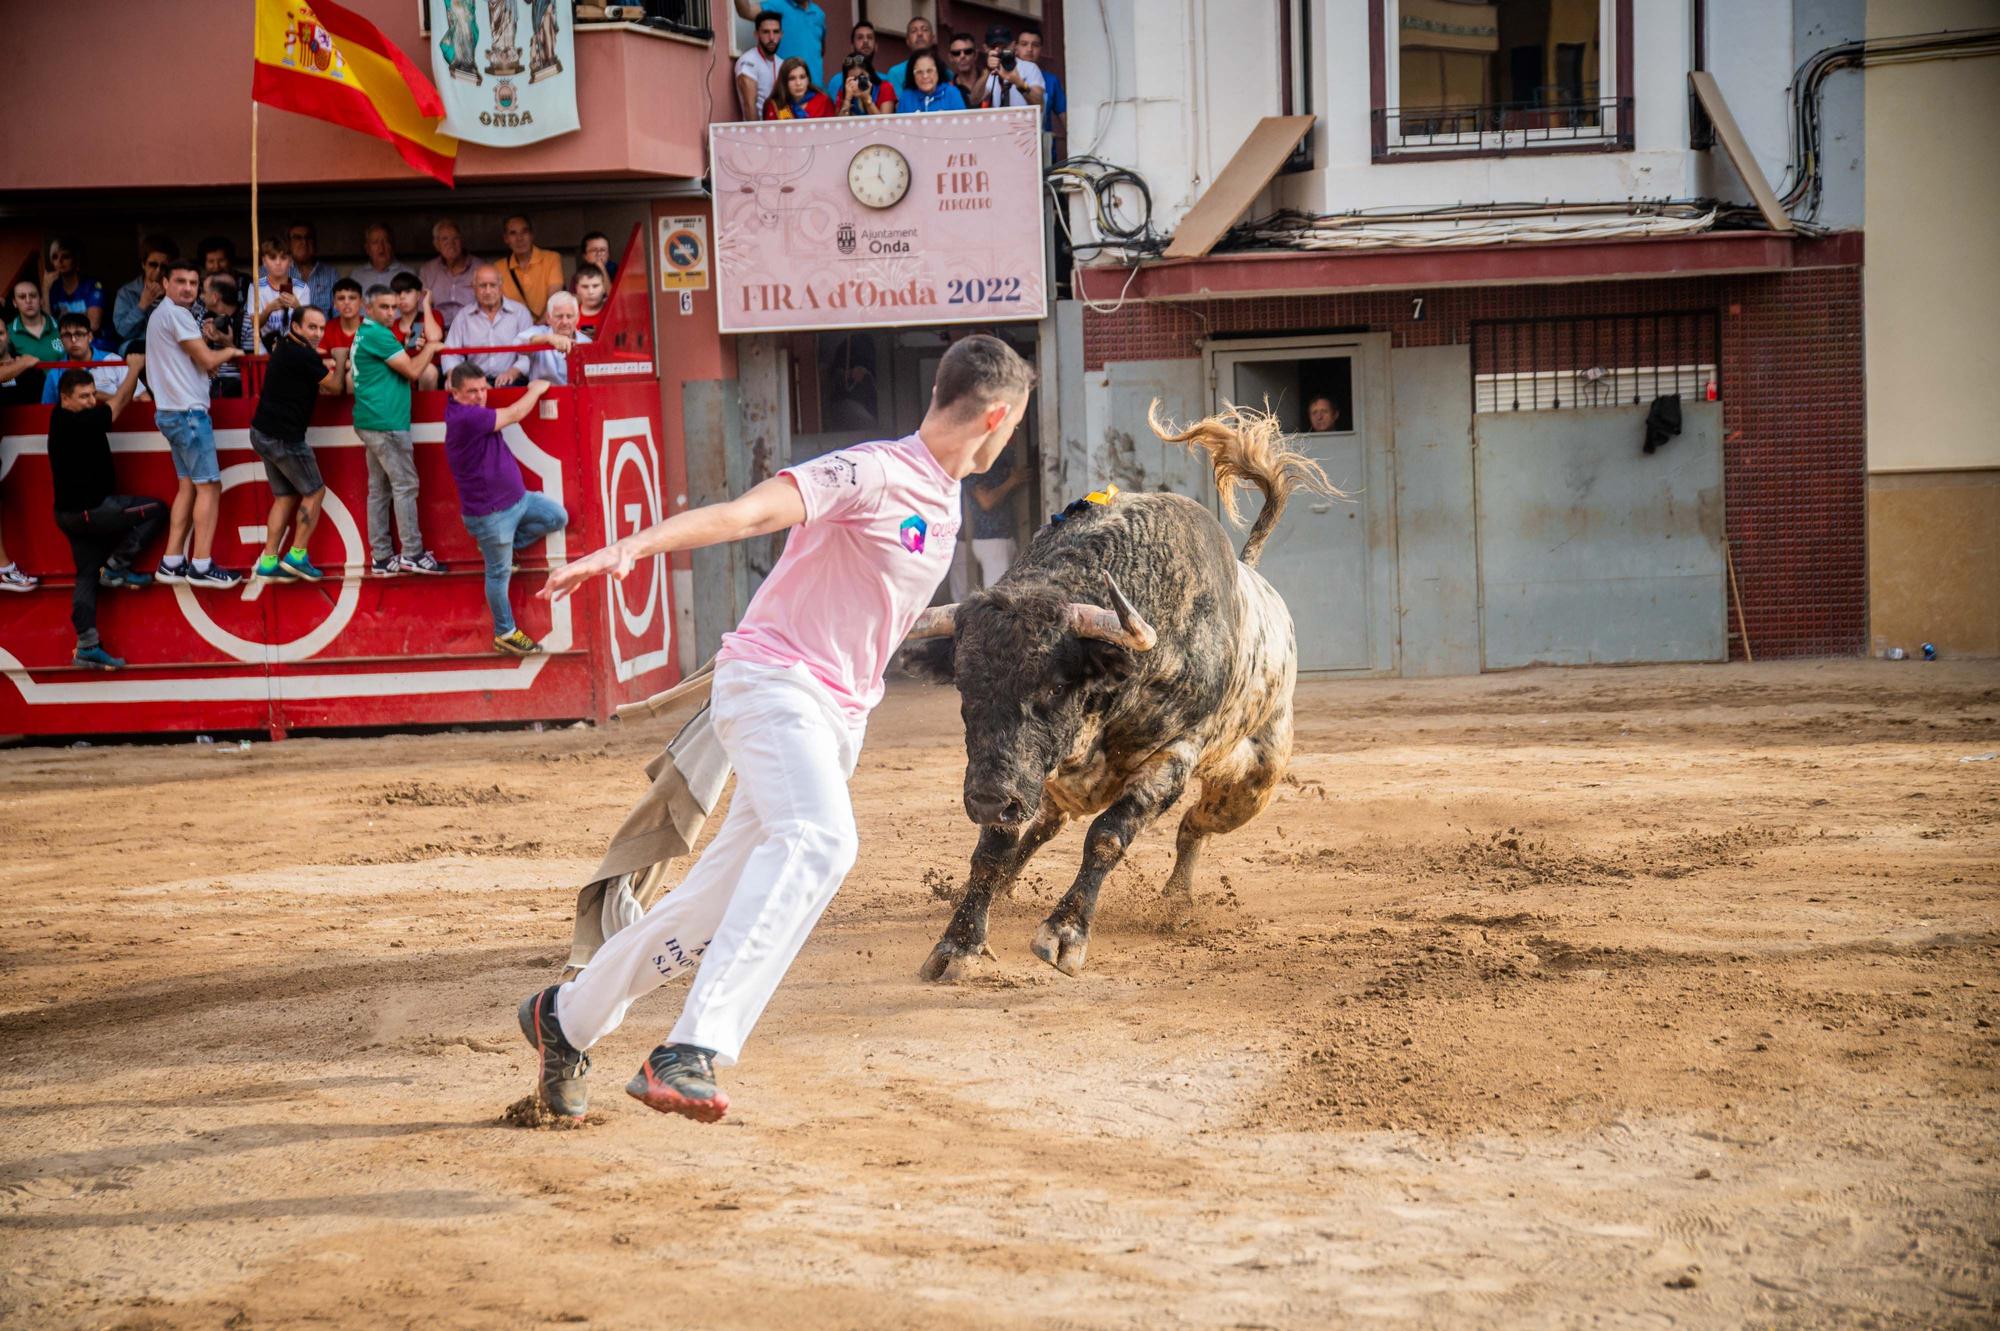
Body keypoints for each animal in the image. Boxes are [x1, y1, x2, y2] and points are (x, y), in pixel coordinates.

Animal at [904, 399, 1336, 979]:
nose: (990, 801)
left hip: (1250, 787)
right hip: (1054, 787)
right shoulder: (1019, 776)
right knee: (1045, 828)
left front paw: (1065, 931)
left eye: (1057, 686)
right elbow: (993, 850)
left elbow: (1108, 835)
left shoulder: (1171, 758)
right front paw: (959, 941)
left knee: (1193, 825)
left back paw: (1176, 902)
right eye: (964, 688)